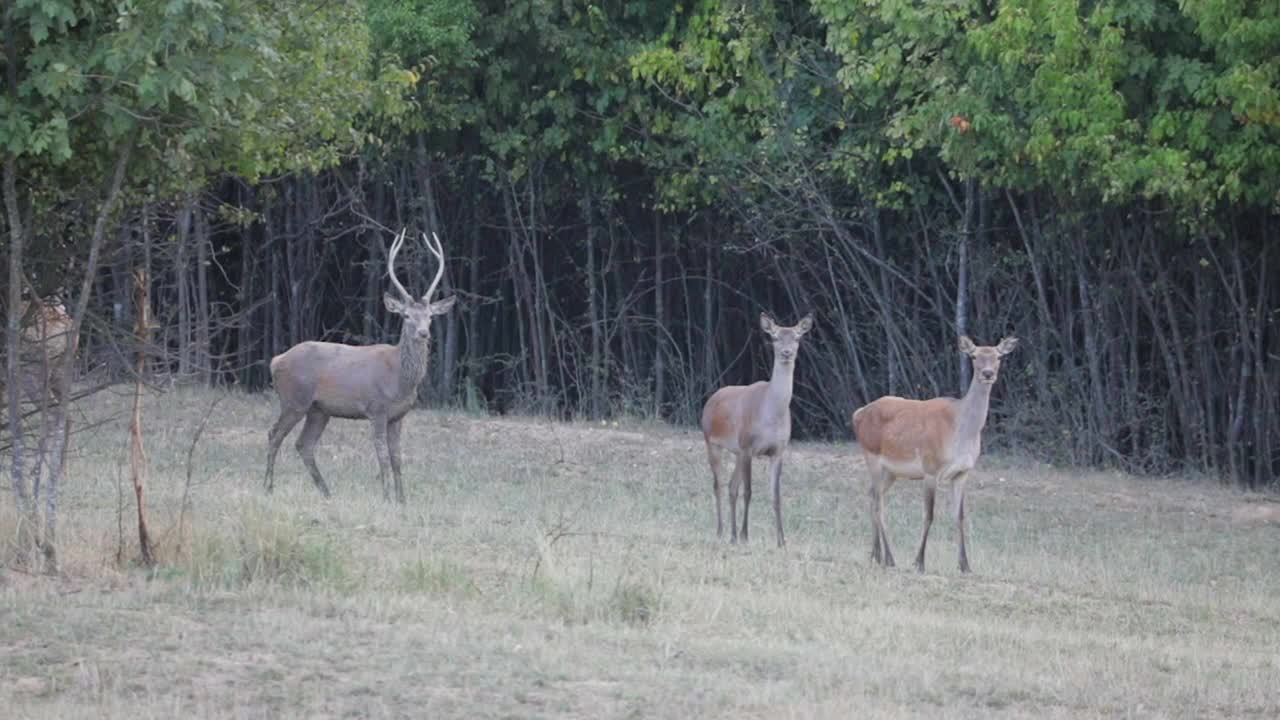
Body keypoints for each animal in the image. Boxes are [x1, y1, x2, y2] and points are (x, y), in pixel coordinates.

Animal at [264, 228, 455, 499]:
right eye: (406, 315)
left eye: (429, 316)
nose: (423, 333)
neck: (399, 381)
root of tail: (275, 360)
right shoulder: (377, 409)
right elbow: (382, 456)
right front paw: (386, 497)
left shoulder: (398, 415)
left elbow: (397, 458)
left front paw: (402, 499)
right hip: (294, 400)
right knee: (274, 434)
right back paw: (268, 487)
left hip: (318, 409)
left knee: (304, 444)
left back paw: (326, 492)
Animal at [701, 312, 808, 543]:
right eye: (775, 337)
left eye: (797, 337)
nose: (786, 353)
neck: (771, 416)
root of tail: (710, 400)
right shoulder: (748, 445)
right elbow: (749, 491)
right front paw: (745, 535)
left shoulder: (778, 450)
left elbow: (776, 496)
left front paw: (781, 540)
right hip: (712, 441)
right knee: (718, 484)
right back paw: (721, 531)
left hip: (736, 451)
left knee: (732, 486)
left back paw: (731, 535)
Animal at [849, 333, 1018, 571]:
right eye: (974, 356)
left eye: (999, 356)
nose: (987, 373)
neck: (961, 434)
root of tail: (858, 413)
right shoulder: (930, 468)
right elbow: (929, 515)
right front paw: (919, 562)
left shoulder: (962, 472)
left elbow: (959, 516)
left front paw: (965, 565)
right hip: (871, 455)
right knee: (879, 504)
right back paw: (889, 557)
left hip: (891, 471)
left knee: (872, 495)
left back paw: (877, 555)